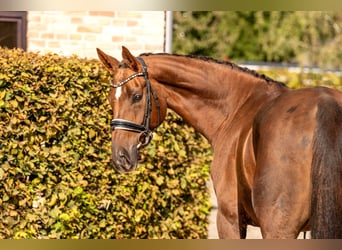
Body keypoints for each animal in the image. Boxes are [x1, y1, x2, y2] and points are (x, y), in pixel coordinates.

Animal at [96, 46, 342, 239]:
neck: (237, 105)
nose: (120, 156)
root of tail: (325, 106)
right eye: (110, 100)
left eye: (136, 96)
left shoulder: (229, 220)